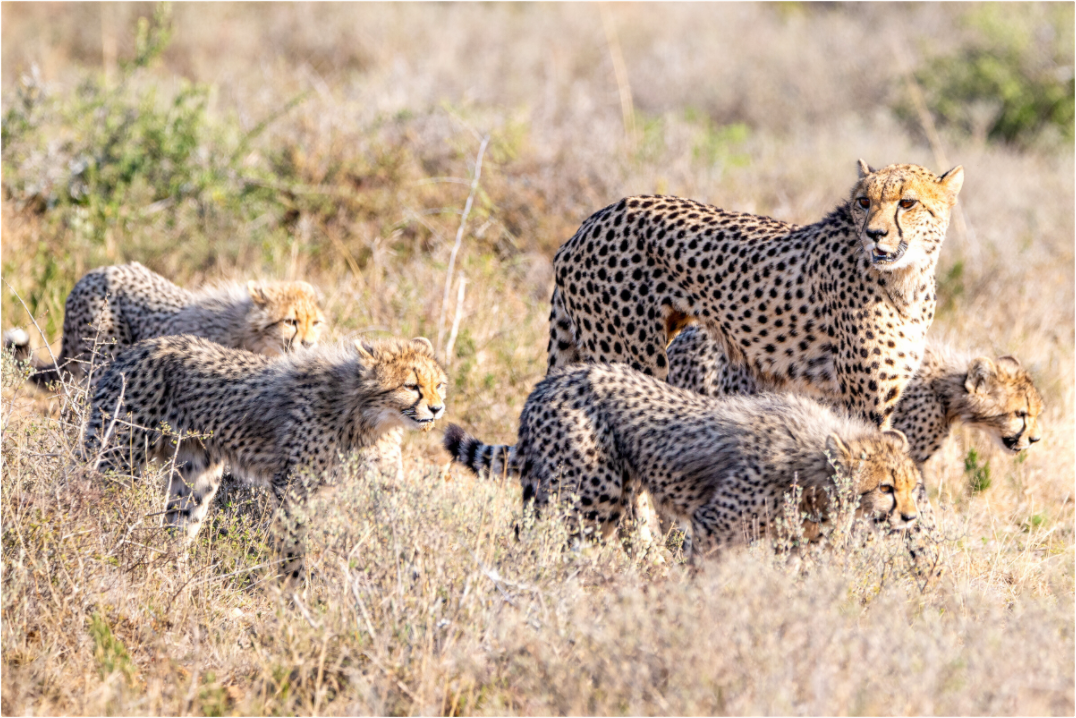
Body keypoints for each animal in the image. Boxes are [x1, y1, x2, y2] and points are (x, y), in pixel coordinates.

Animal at [83, 334, 447, 579]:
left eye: (439, 385)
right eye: (411, 386)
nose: (437, 408)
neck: (367, 417)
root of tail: (137, 348)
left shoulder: (385, 485)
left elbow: (402, 525)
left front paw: (415, 576)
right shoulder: (294, 486)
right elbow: (293, 543)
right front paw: (293, 590)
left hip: (198, 472)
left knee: (180, 526)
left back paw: (175, 575)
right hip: (117, 454)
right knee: (88, 495)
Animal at [443, 362, 921, 562]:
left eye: (914, 487)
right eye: (886, 488)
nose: (911, 517)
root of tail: (554, 379)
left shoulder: (796, 540)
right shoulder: (713, 524)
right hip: (593, 493)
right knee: (556, 537)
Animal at [546, 161, 965, 429]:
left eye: (907, 203)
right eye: (864, 202)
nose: (874, 234)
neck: (907, 279)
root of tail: (591, 220)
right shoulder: (865, 401)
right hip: (631, 356)